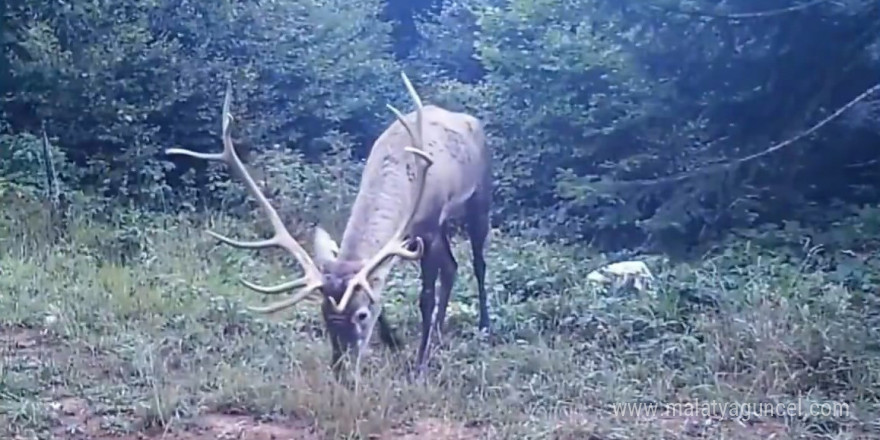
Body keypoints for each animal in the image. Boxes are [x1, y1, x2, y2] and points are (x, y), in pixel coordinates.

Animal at [168, 72, 492, 378]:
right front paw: (394, 341)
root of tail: (473, 121)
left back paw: (483, 327)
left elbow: (425, 298)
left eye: (361, 316)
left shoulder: (429, 225)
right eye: (324, 315)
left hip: (478, 196)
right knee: (452, 266)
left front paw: (419, 367)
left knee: (477, 262)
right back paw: (439, 332)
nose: (342, 372)